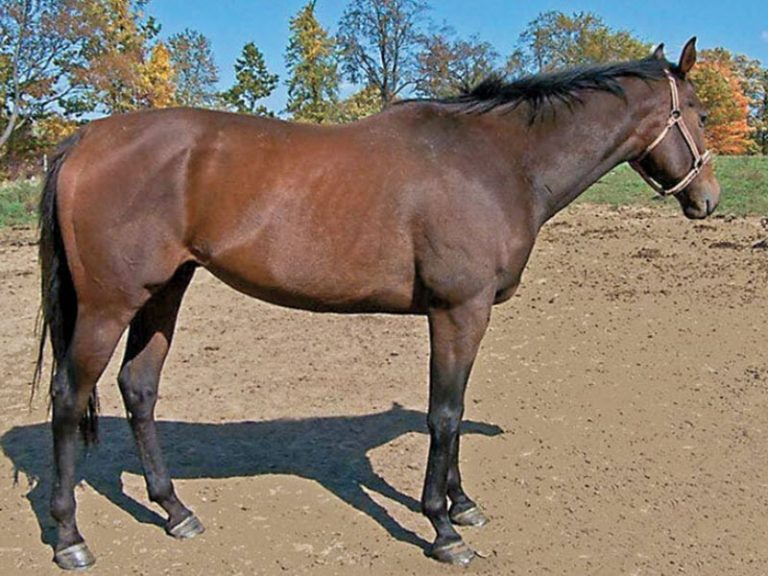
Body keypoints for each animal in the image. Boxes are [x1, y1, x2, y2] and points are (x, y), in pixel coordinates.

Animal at [33, 38, 719, 570]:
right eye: (701, 113)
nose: (707, 199)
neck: (496, 160)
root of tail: (86, 139)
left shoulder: (464, 316)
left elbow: (454, 409)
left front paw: (463, 505)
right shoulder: (459, 311)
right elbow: (444, 414)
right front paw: (442, 529)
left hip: (164, 292)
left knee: (139, 387)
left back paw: (176, 511)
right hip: (108, 305)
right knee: (69, 397)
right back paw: (70, 538)